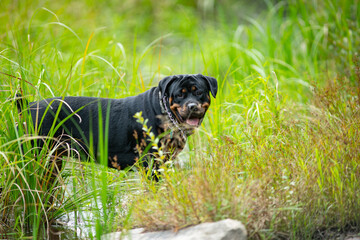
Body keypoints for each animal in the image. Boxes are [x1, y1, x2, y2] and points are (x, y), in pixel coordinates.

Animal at [26, 74, 218, 172]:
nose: (192, 106)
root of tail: (28, 106)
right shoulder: (151, 164)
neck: (164, 113)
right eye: (179, 94)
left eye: (199, 92)